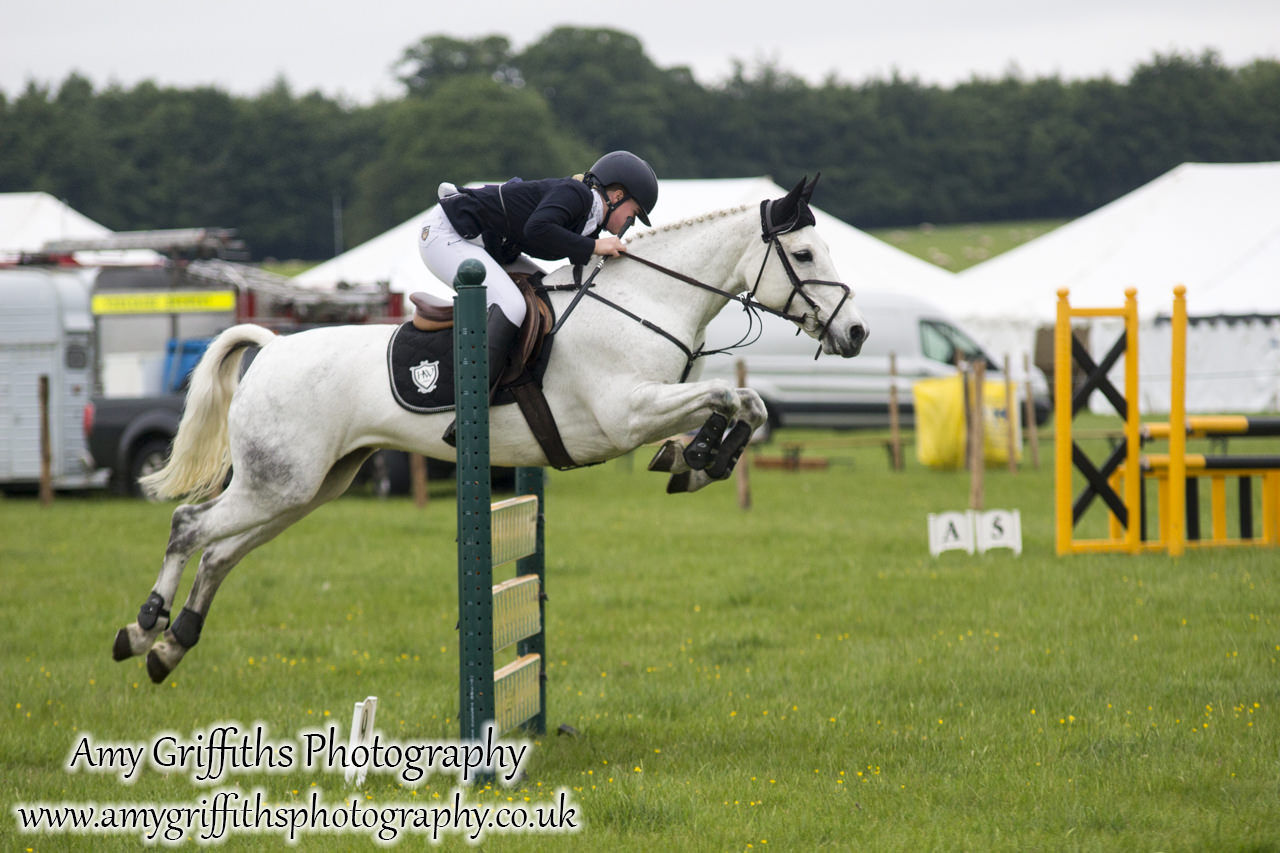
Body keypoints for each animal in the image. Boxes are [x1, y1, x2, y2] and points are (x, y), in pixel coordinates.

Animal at [115, 175, 870, 681]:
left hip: (308, 487)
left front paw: (698, 458)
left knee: (220, 551)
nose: (858, 333)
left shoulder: (654, 401)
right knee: (189, 526)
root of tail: (271, 347)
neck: (644, 301)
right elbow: (730, 397)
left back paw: (170, 645)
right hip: (279, 481)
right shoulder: (627, 412)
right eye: (806, 256)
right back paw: (142, 627)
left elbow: (746, 404)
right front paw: (696, 457)